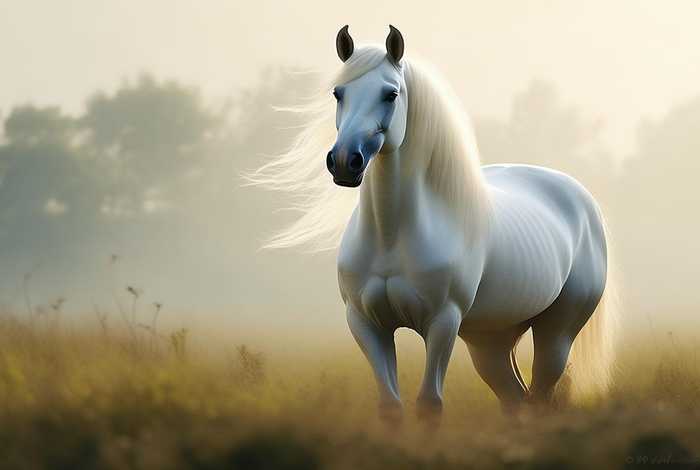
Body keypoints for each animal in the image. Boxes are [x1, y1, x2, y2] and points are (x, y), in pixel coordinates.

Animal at [249, 25, 617, 424]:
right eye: (338, 92)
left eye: (390, 94)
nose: (346, 161)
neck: (392, 237)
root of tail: (583, 201)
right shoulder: (365, 323)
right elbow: (391, 407)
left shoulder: (442, 323)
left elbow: (429, 405)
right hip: (491, 339)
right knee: (515, 398)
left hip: (556, 333)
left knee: (539, 396)